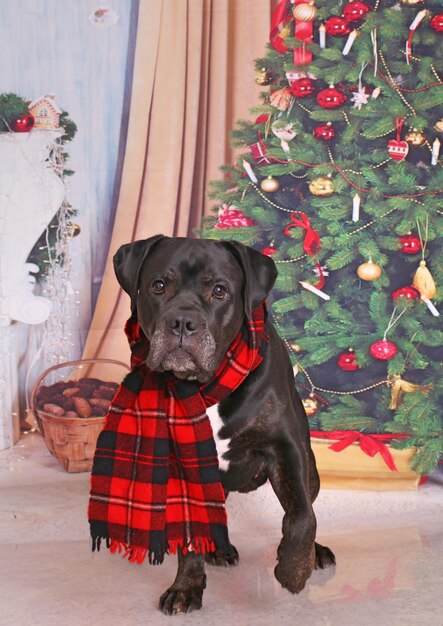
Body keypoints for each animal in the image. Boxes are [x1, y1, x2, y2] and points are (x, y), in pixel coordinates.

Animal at [112, 235, 334, 616]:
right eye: (158, 286)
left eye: (219, 290)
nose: (182, 322)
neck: (203, 384)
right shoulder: (181, 470)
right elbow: (189, 537)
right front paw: (185, 587)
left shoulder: (287, 447)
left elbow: (302, 515)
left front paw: (293, 570)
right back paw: (218, 548)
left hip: (312, 469)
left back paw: (313, 554)